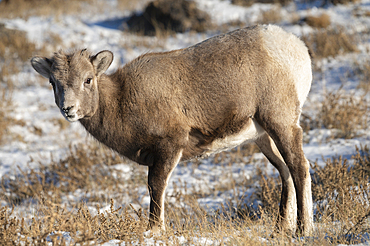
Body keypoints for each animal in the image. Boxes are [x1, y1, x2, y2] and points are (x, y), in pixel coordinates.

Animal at [31, 24, 312, 234]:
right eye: (53, 82)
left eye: (88, 79)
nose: (68, 109)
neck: (123, 100)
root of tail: (297, 48)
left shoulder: (169, 145)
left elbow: (156, 186)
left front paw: (155, 229)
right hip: (264, 137)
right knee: (285, 171)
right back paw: (280, 229)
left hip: (280, 122)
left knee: (299, 166)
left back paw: (303, 230)